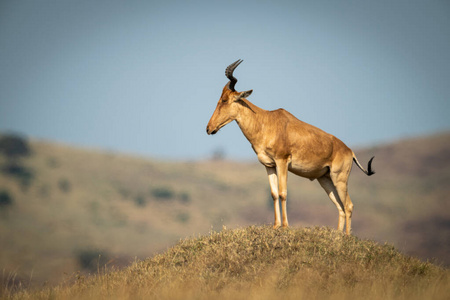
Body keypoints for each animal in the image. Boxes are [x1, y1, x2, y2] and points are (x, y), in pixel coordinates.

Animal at [206, 59, 374, 236]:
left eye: (225, 100)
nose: (209, 128)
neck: (266, 121)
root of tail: (349, 151)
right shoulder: (269, 165)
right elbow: (274, 194)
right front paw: (275, 226)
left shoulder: (282, 162)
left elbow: (283, 192)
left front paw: (285, 226)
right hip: (325, 179)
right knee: (340, 207)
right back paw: (338, 236)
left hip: (339, 178)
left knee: (348, 205)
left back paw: (347, 236)